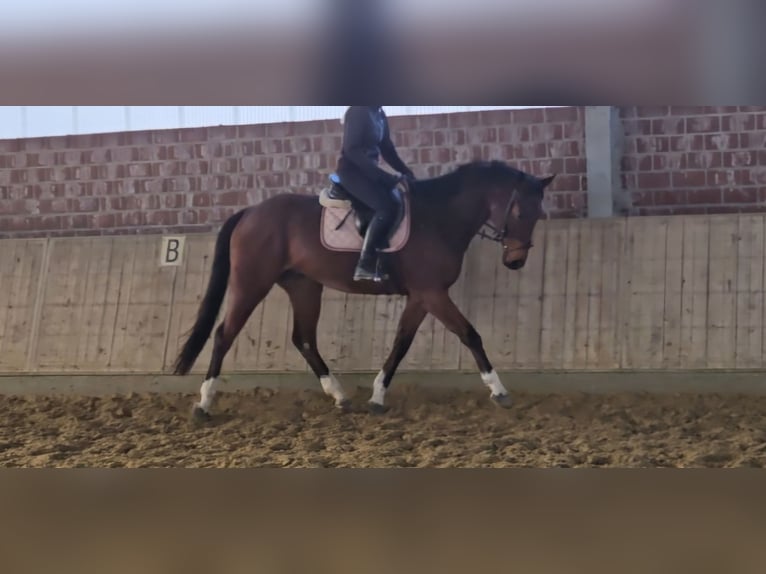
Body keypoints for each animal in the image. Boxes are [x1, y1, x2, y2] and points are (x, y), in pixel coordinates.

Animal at [172, 159, 555, 419]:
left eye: (538, 213)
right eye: (520, 212)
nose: (516, 262)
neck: (439, 217)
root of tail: (251, 211)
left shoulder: (421, 297)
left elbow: (401, 343)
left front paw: (377, 398)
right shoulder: (433, 293)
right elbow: (470, 334)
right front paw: (499, 391)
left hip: (304, 286)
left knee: (304, 339)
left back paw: (340, 396)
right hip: (252, 282)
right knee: (224, 334)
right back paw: (204, 404)